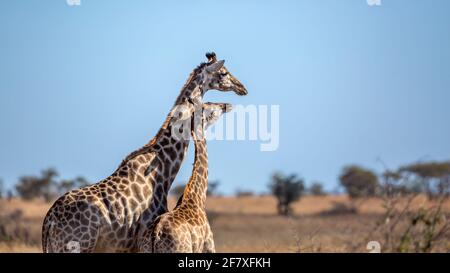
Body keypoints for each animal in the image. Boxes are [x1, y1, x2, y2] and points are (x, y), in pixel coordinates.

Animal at [137, 100, 230, 253]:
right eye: (210, 105)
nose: (226, 105)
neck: (198, 197)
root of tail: (155, 234)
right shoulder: (208, 246)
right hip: (182, 249)